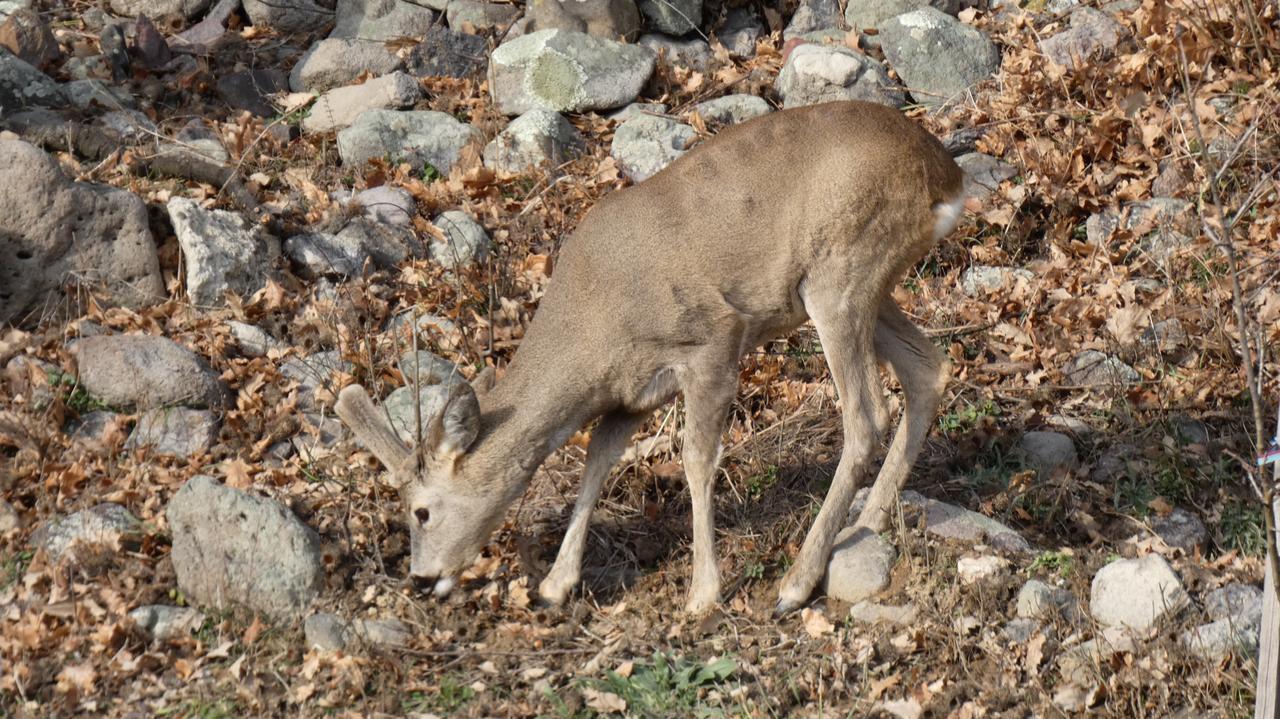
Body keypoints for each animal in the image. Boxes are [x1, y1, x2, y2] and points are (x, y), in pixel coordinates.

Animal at [330, 101, 962, 614]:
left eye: (421, 510)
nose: (420, 578)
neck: (591, 330)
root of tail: (946, 175)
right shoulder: (629, 396)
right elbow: (596, 462)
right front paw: (555, 585)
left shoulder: (712, 340)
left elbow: (695, 461)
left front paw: (703, 593)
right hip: (866, 286)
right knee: (928, 367)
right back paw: (867, 521)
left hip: (839, 274)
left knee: (866, 413)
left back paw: (795, 582)